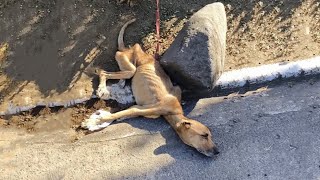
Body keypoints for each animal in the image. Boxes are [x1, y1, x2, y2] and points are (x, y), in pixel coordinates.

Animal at [81, 19, 219, 157]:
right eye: (205, 135)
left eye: (210, 136)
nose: (217, 151)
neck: (174, 112)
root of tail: (128, 48)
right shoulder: (148, 108)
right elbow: (118, 114)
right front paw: (95, 121)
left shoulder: (140, 107)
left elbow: (122, 113)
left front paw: (101, 119)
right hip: (130, 68)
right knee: (103, 72)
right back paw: (102, 89)